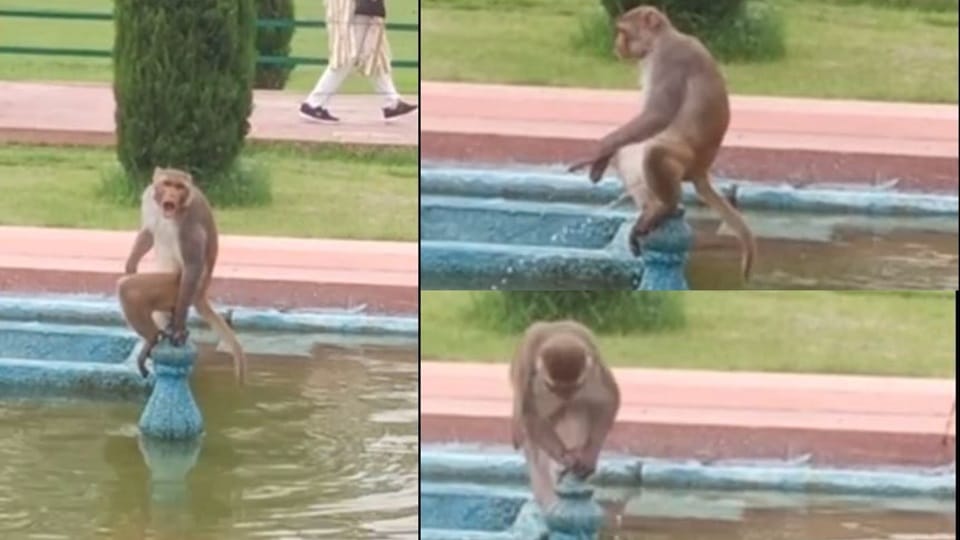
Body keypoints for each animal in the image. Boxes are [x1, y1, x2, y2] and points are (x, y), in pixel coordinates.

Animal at [117, 167, 247, 383]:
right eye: (167, 184)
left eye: (179, 187)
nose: (171, 195)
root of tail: (201, 293)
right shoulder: (149, 199)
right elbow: (148, 233)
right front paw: (131, 264)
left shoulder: (189, 222)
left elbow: (193, 265)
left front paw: (178, 327)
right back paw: (155, 338)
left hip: (176, 287)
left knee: (129, 289)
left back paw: (157, 335)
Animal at [509, 320, 621, 511]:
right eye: (553, 387)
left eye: (574, 387)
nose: (565, 396)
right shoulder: (533, 378)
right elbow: (531, 416)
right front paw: (564, 456)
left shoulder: (594, 371)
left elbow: (608, 401)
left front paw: (590, 452)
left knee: (576, 407)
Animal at [568, 5, 757, 281]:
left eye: (623, 31)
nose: (617, 44)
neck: (659, 40)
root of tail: (701, 169)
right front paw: (601, 158)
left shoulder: (670, 59)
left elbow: (658, 114)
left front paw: (600, 149)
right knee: (628, 150)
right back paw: (652, 208)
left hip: (684, 162)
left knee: (655, 152)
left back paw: (665, 207)